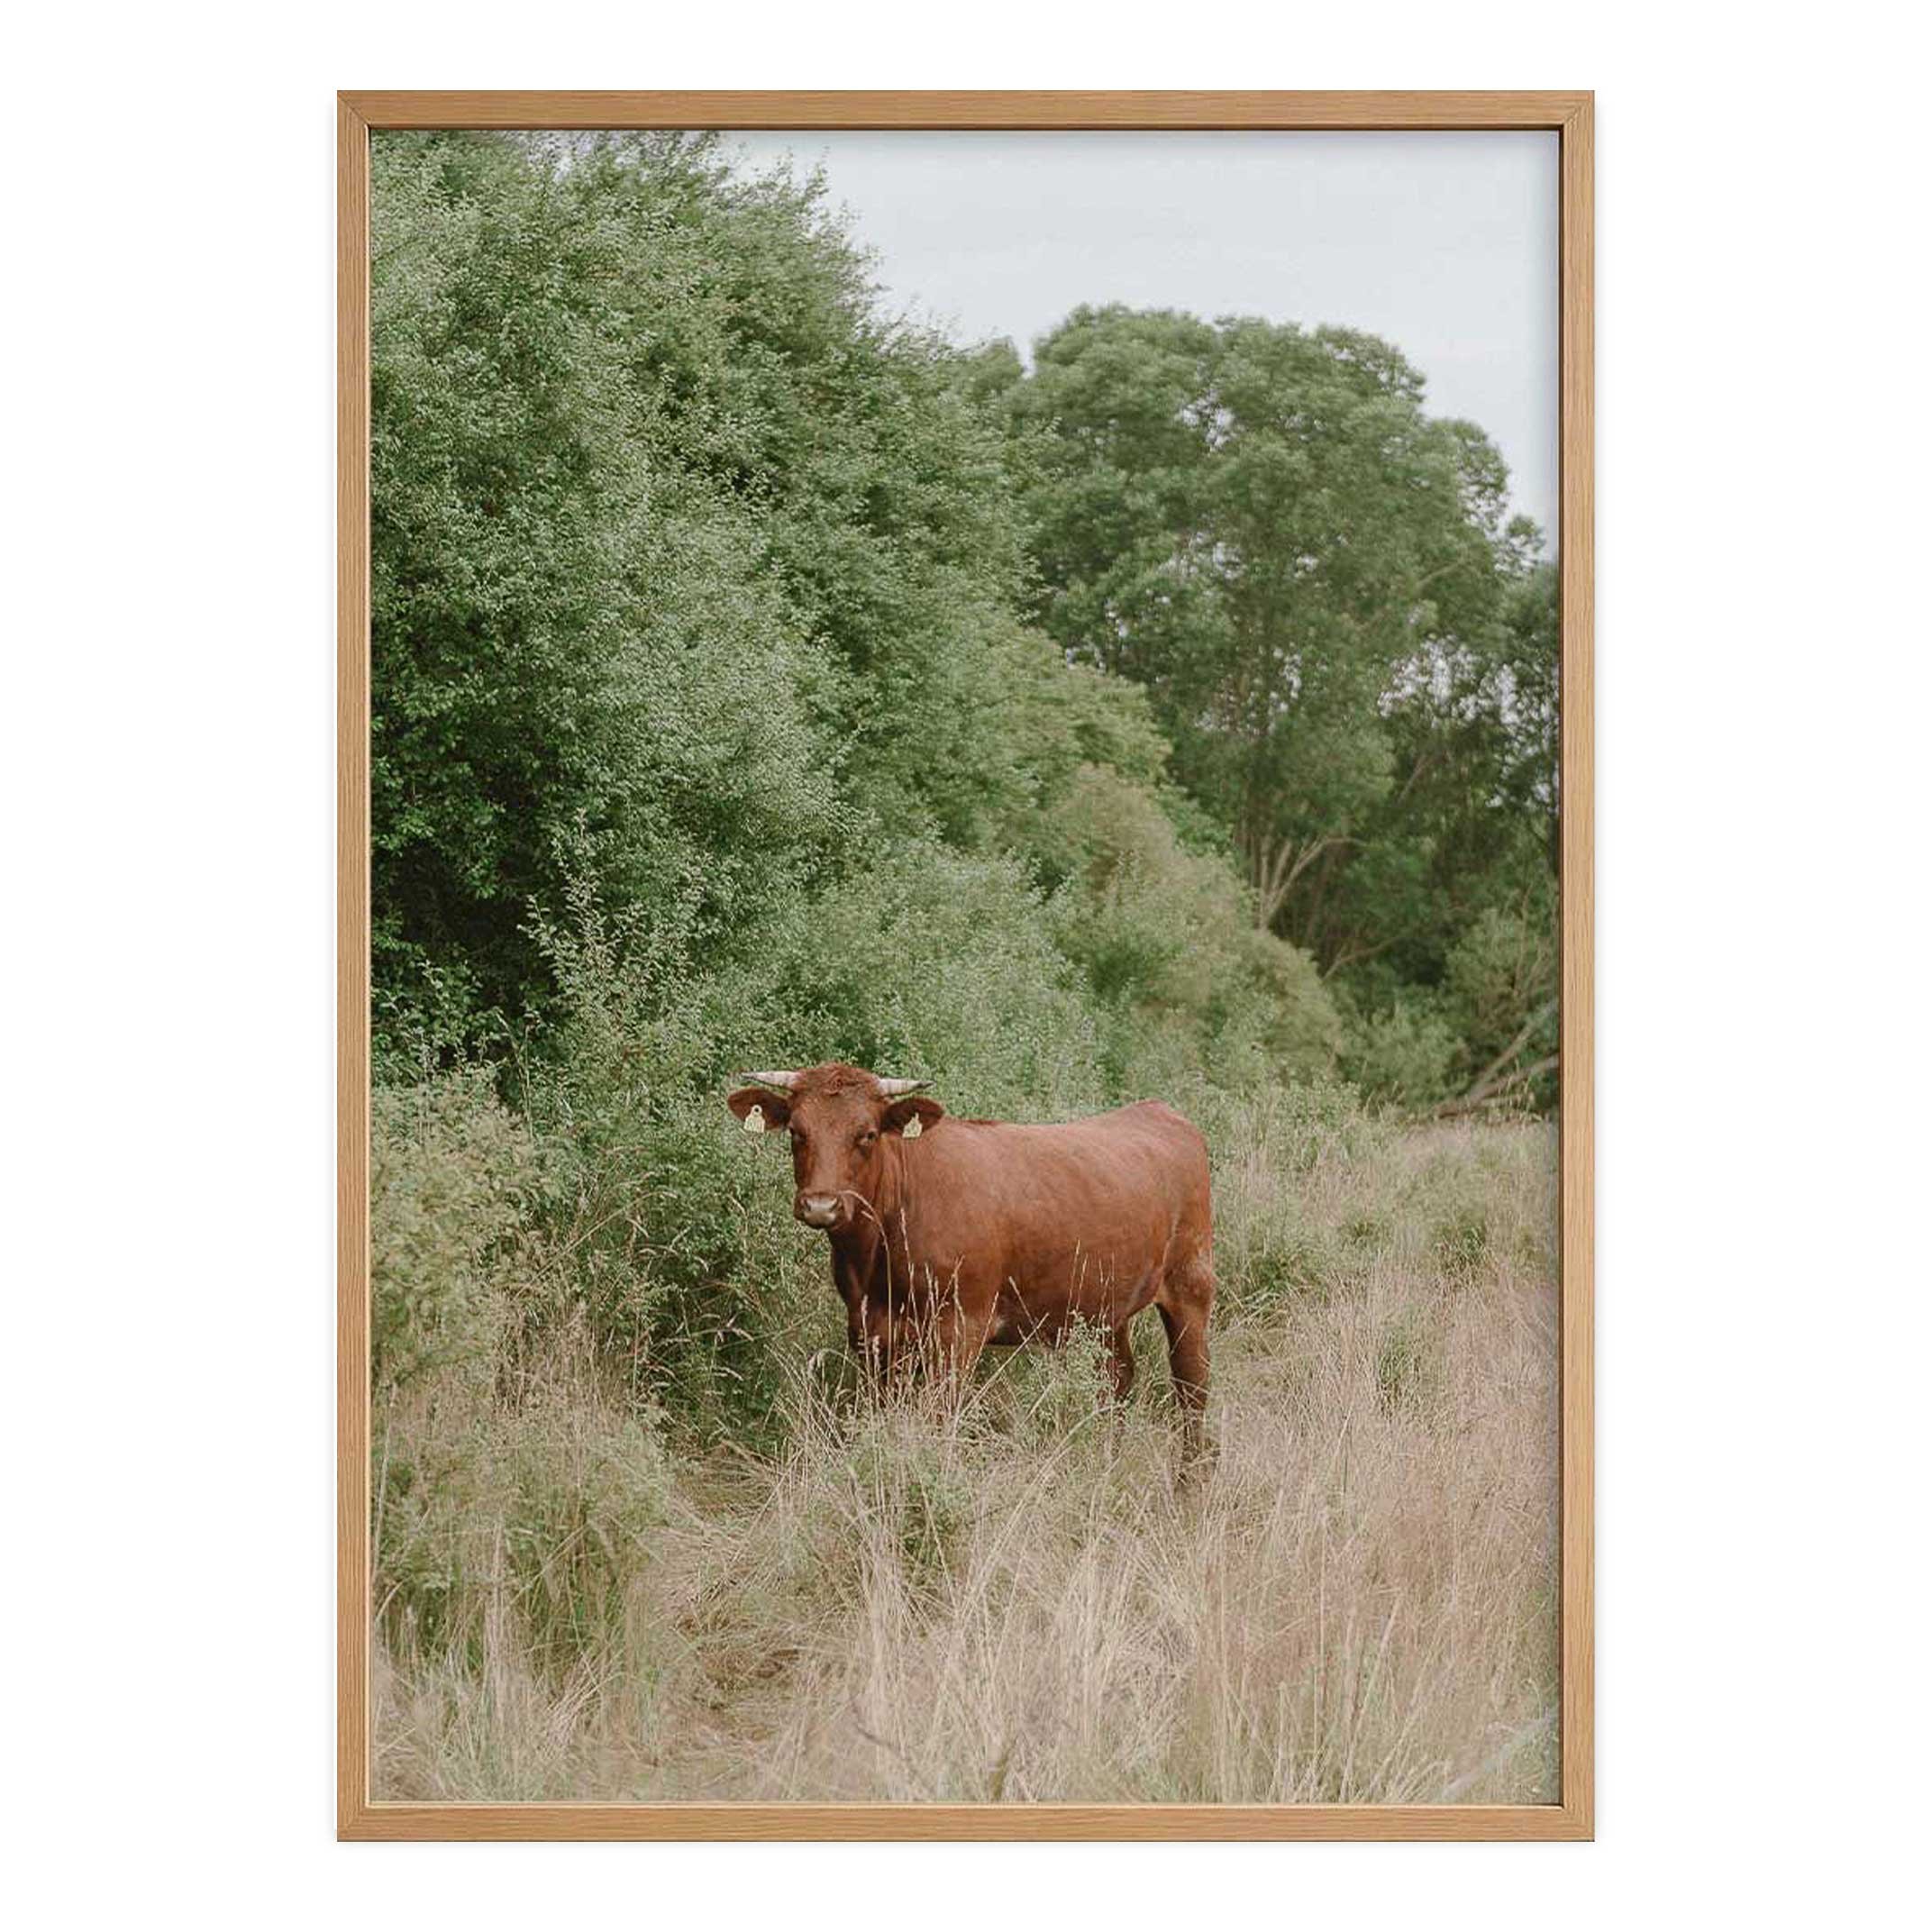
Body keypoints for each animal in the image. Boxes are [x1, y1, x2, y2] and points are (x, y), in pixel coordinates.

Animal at [726, 1062, 1215, 1459]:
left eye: (866, 1134)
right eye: (796, 1131)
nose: (821, 1206)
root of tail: (1159, 1111)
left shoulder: (960, 1328)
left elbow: (941, 1418)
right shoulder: (871, 1331)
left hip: (1191, 1284)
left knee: (1192, 1386)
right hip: (1104, 1306)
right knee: (1116, 1378)